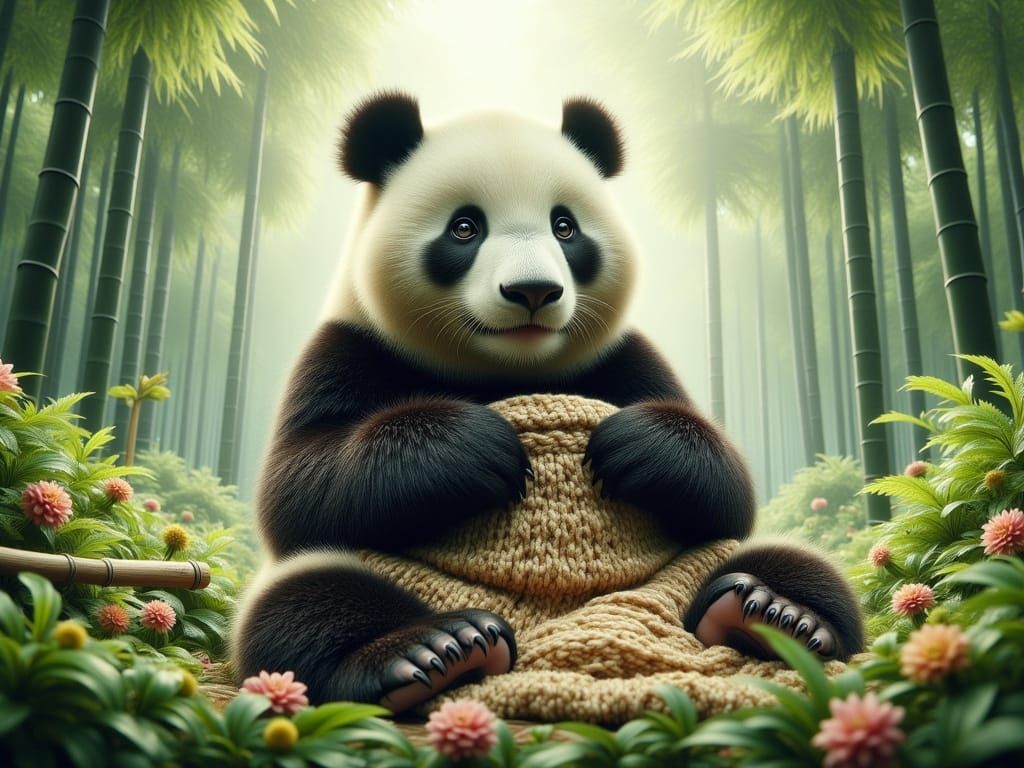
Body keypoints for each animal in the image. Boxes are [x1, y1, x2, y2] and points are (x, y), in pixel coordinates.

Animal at [232, 92, 863, 714]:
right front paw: (477, 447)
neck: (506, 368)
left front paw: (634, 446)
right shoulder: (347, 347)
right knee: (305, 598)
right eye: (464, 228)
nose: (533, 290)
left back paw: (778, 614)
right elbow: (299, 487)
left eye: (565, 226)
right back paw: (433, 650)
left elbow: (729, 490)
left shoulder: (623, 356)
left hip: (688, 567)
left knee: (789, 560)